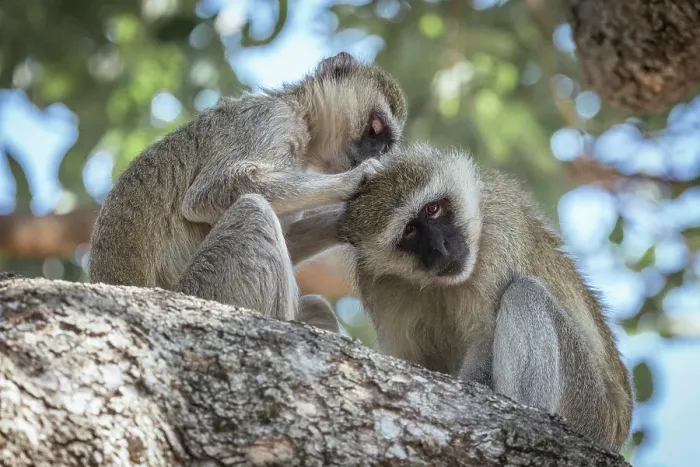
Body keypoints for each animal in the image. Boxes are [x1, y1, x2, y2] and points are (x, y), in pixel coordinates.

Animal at [88, 52, 407, 332]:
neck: (301, 113)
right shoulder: (270, 122)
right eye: (374, 129)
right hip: (206, 293)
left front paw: (344, 222)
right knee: (252, 210)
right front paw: (356, 178)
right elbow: (208, 194)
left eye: (386, 144)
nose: (377, 153)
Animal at [285, 142, 634, 450]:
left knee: (525, 293)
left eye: (434, 209)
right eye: (410, 231)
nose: (440, 247)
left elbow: (484, 342)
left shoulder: (500, 233)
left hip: (588, 406)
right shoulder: (377, 282)